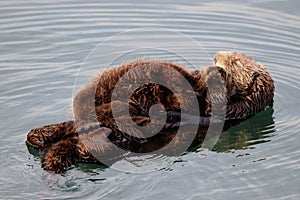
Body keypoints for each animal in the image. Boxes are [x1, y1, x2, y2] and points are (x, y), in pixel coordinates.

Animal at [25, 51, 274, 173]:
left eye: (235, 60)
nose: (216, 57)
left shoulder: (232, 110)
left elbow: (214, 105)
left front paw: (214, 75)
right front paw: (206, 72)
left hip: (109, 143)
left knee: (88, 146)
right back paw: (40, 135)